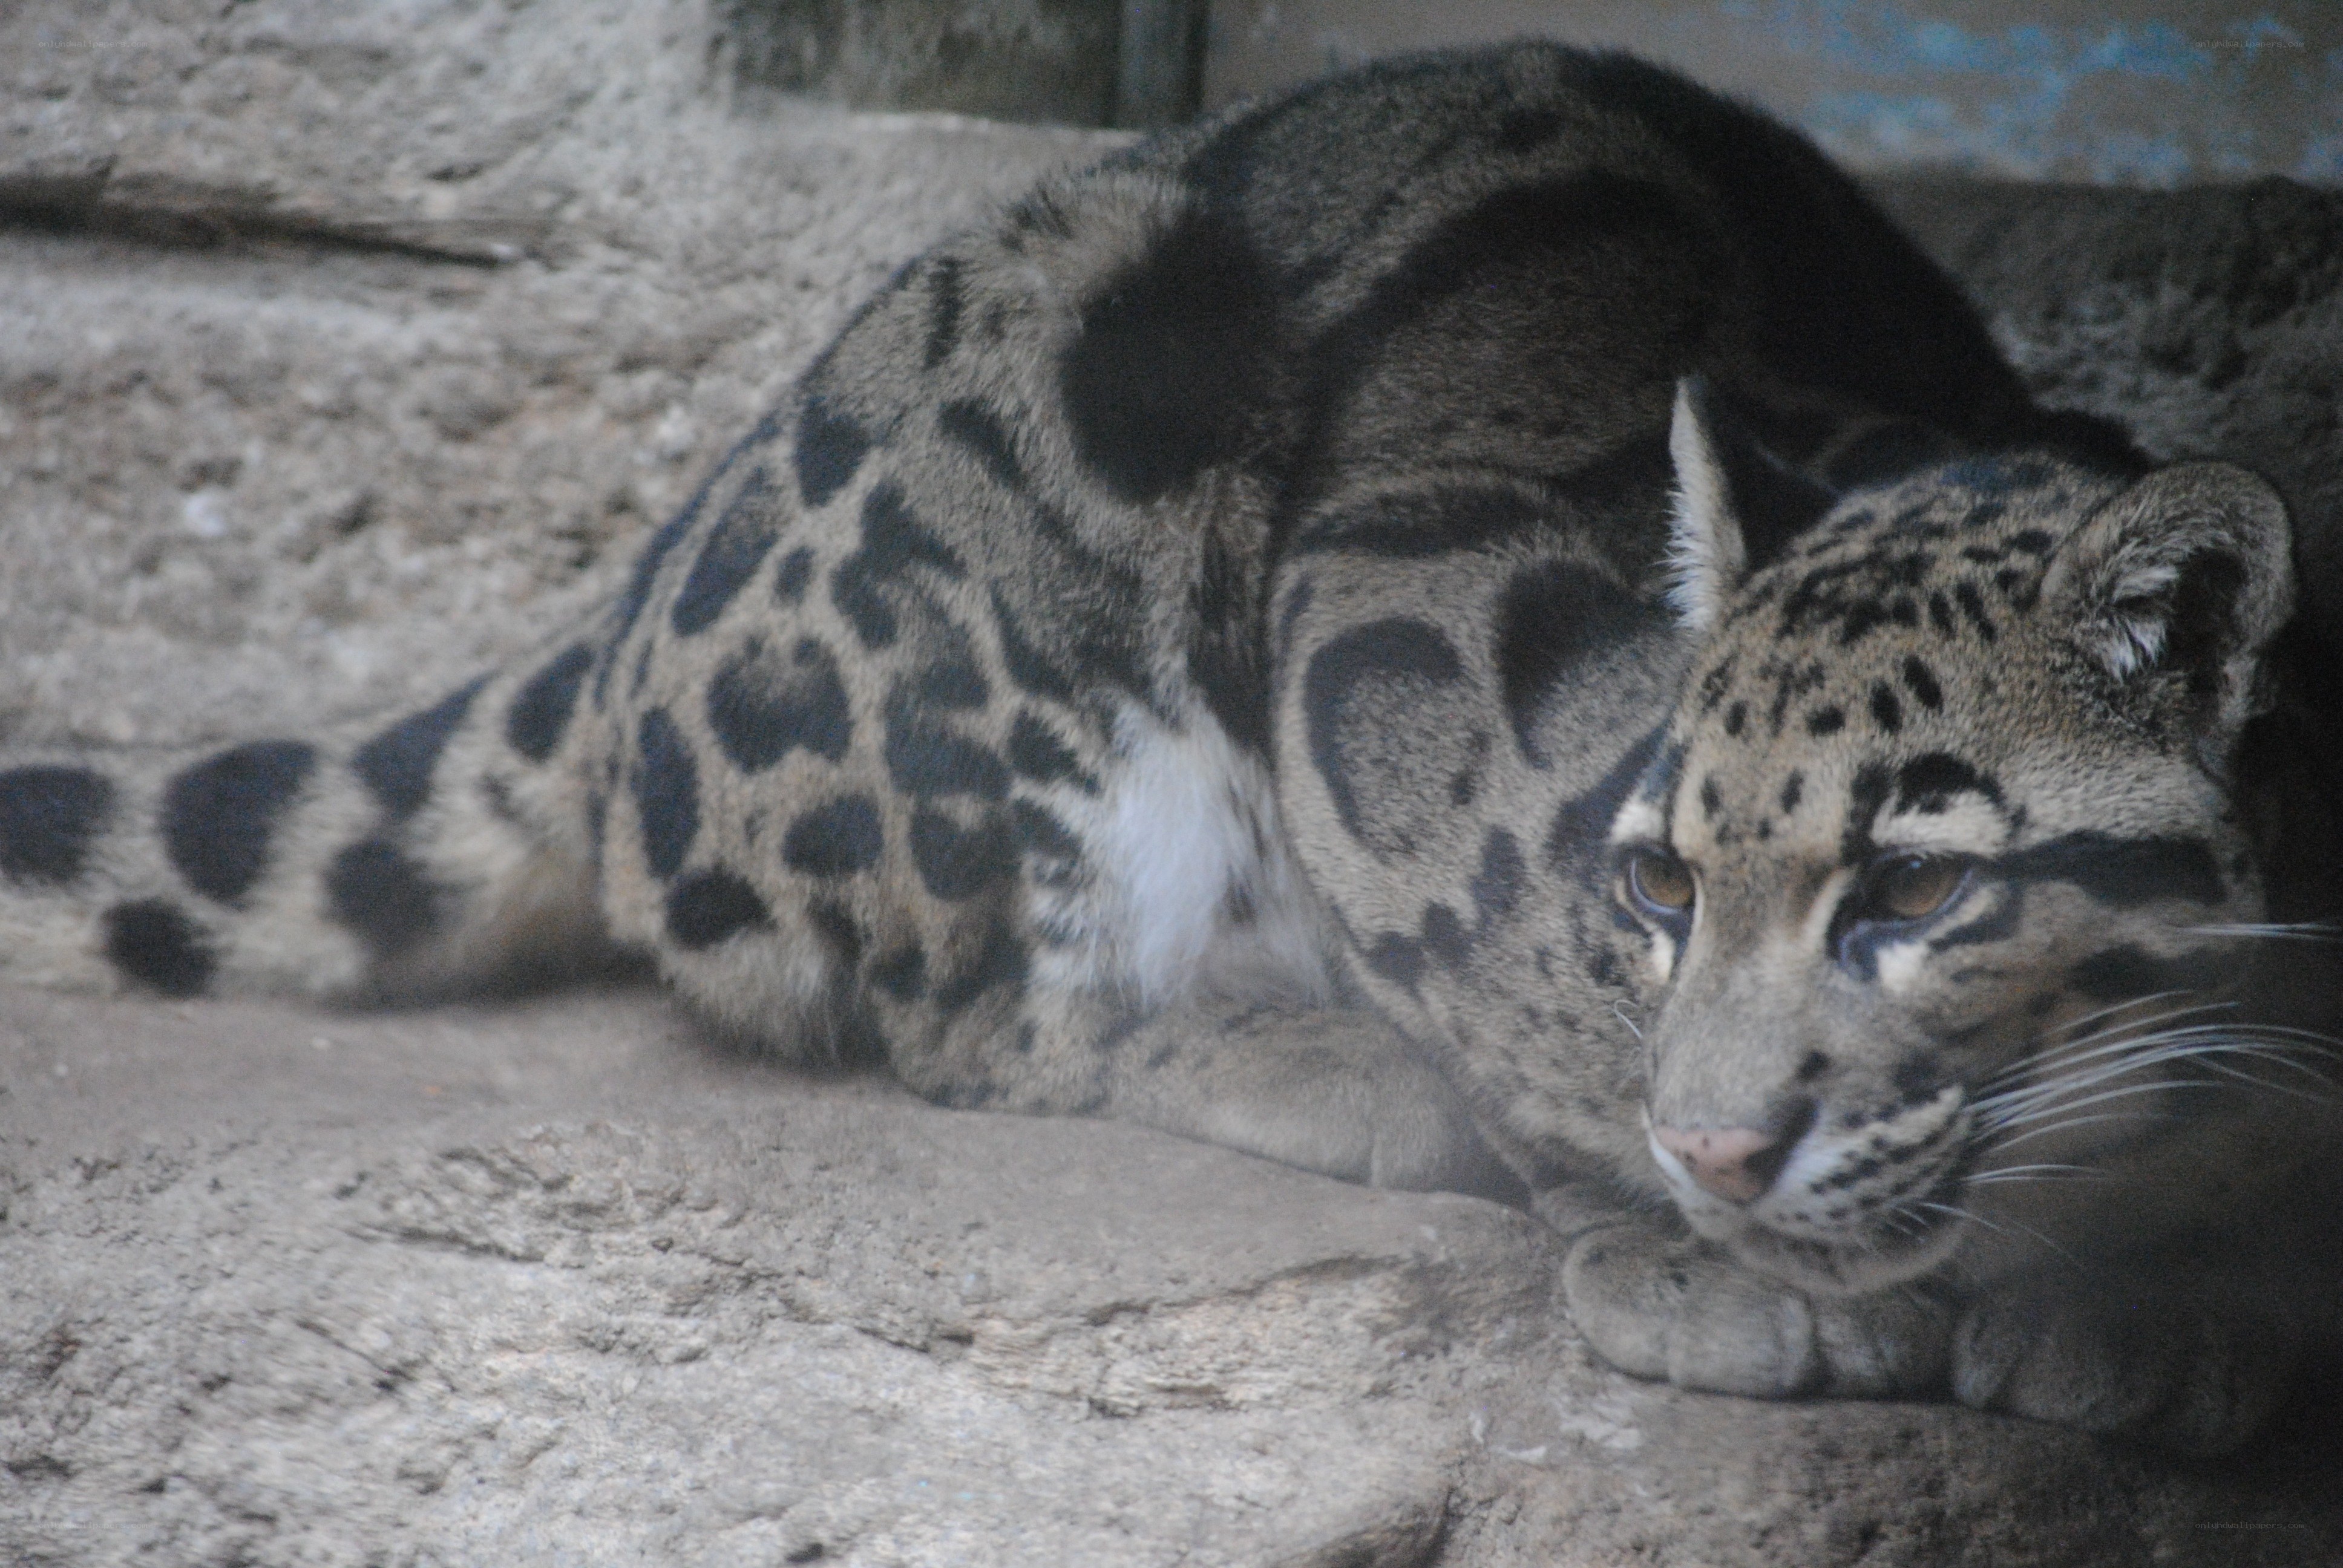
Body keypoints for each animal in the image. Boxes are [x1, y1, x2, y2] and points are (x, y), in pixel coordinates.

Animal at [3, 43, 2337, 1455]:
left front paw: (2179, 1315)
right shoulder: (1397, 621)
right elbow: (1502, 976)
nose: (1722, 1156)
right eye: (1658, 881)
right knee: (974, 1019)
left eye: (1922, 889)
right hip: (1053, 428)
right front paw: (1684, 1243)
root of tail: (635, 604)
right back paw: (1307, 1060)